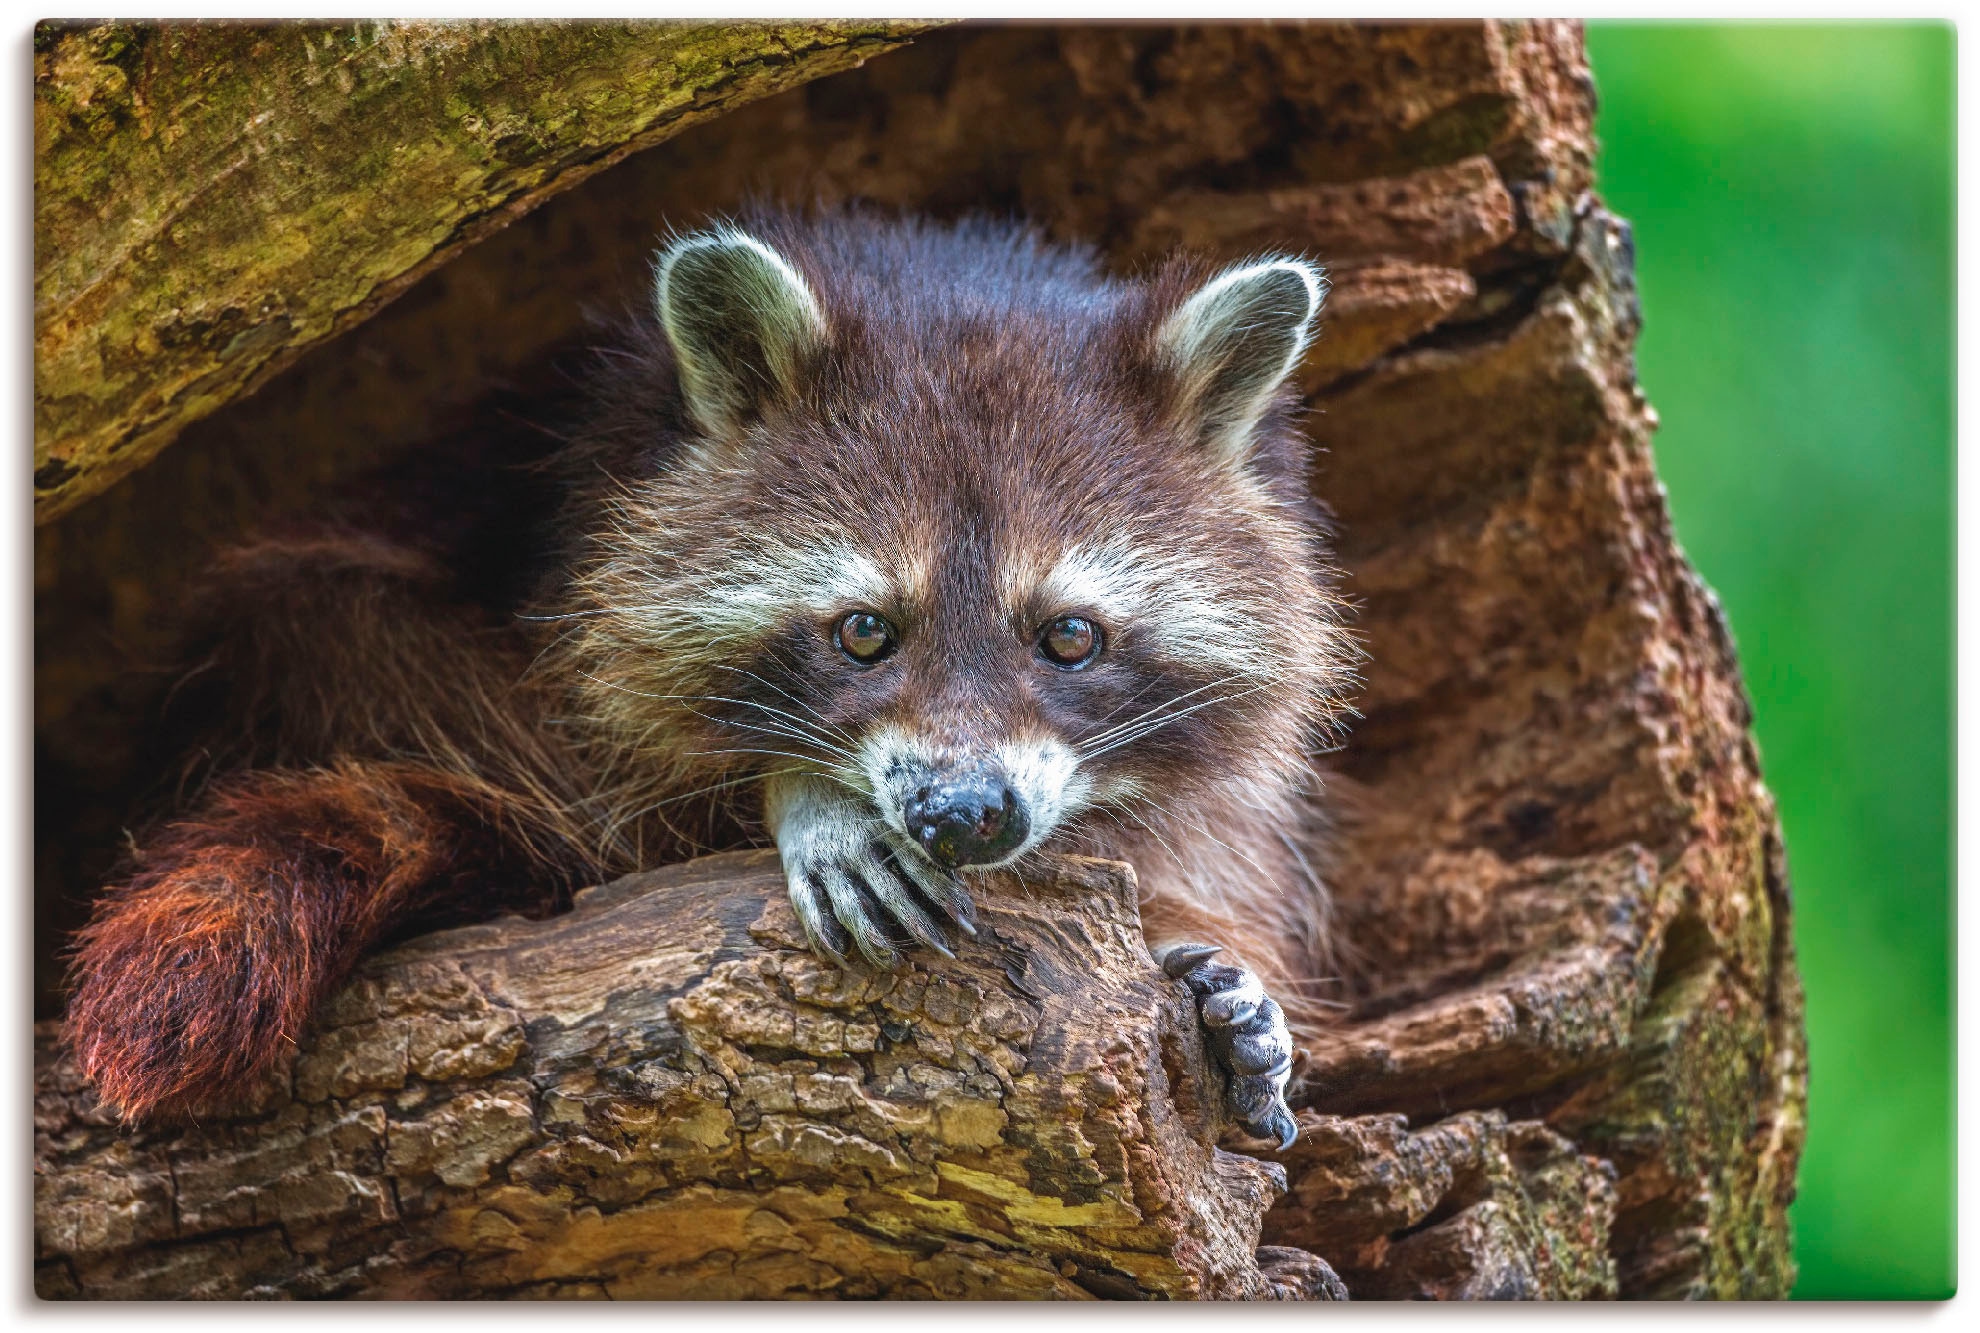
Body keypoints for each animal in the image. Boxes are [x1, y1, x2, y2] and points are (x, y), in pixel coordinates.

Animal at [65, 207, 1362, 1140]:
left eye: (1071, 639)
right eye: (863, 632)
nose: (963, 816)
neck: (951, 271)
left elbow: (1206, 832)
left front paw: (1208, 950)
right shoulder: (582, 528)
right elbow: (603, 773)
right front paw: (801, 795)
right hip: (301, 634)